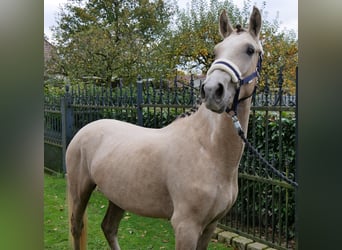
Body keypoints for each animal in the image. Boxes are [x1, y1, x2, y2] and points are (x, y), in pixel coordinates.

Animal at [67, 6, 264, 250]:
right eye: (216, 51)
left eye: (250, 50)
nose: (211, 91)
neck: (208, 151)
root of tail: (83, 131)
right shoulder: (186, 227)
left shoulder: (210, 226)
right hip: (80, 191)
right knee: (77, 227)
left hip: (118, 195)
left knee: (108, 227)